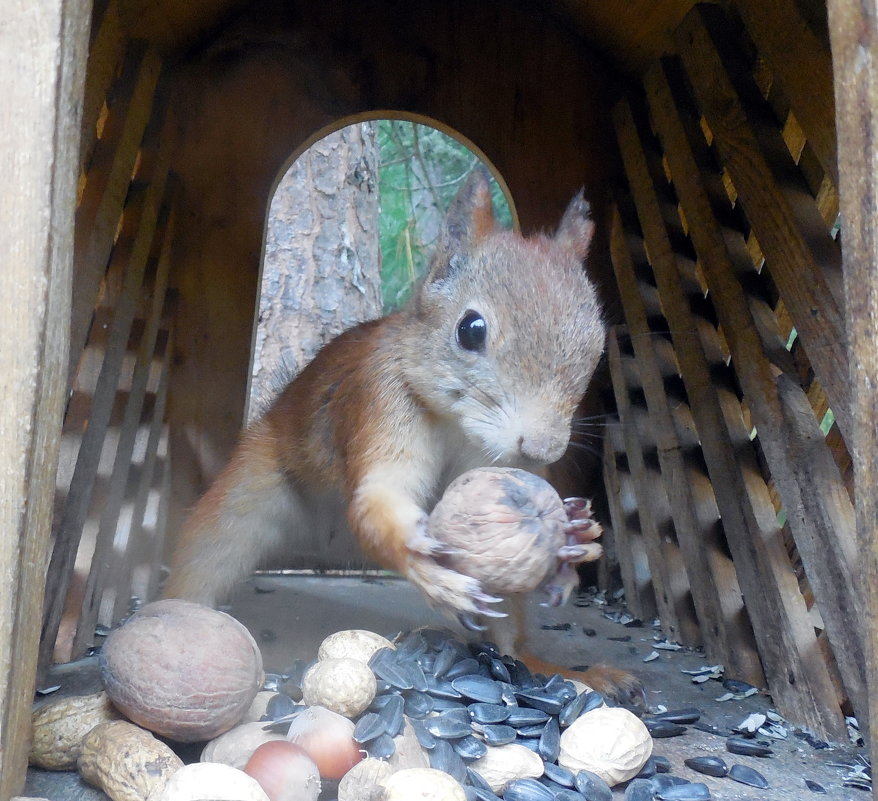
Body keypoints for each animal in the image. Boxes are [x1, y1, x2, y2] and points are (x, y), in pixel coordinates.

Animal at [165, 167, 644, 700]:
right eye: (470, 329)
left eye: (596, 345)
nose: (541, 448)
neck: (459, 427)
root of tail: (325, 550)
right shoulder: (380, 400)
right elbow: (375, 503)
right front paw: (428, 573)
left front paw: (575, 536)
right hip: (241, 501)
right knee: (202, 562)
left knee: (511, 642)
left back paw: (564, 674)